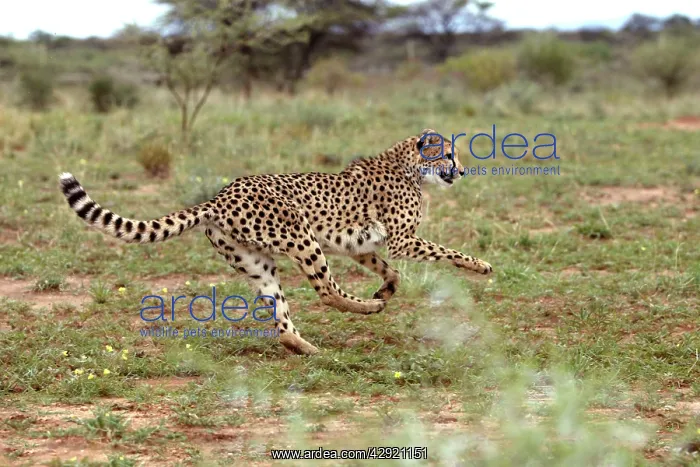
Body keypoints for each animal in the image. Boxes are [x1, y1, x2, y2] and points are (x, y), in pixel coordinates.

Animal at [59, 128, 493, 355]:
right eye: (448, 155)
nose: (461, 170)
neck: (408, 165)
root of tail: (220, 195)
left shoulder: (362, 246)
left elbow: (392, 270)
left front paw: (386, 288)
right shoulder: (403, 239)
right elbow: (445, 252)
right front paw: (481, 266)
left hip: (257, 263)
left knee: (282, 318)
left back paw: (308, 346)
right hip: (302, 237)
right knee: (326, 291)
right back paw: (365, 309)